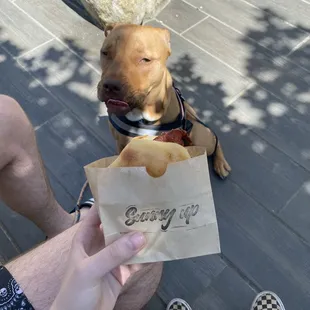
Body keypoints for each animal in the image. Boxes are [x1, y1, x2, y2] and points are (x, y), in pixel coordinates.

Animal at [98, 23, 231, 179]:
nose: (111, 86)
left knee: (216, 139)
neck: (140, 115)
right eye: (105, 52)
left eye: (145, 59)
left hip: (203, 137)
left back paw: (221, 163)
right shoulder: (121, 143)